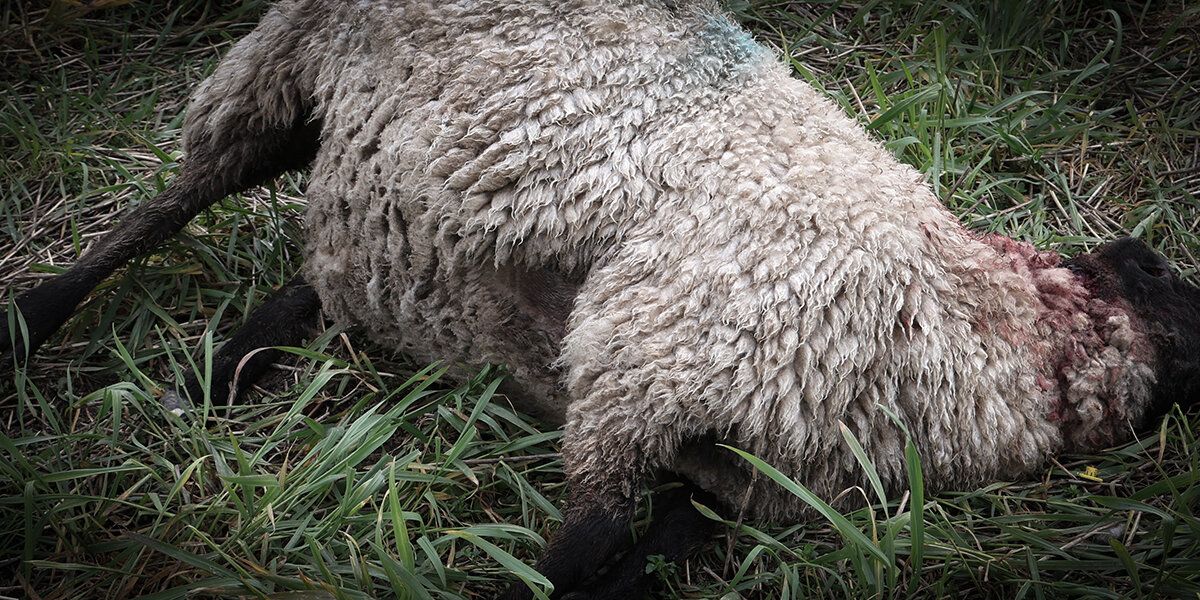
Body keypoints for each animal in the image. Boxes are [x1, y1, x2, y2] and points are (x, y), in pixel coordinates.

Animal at [2, 1, 1200, 600]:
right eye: (1167, 283)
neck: (984, 323)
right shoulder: (645, 368)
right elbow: (575, 557)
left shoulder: (723, 478)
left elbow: (621, 564)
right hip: (278, 64)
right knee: (174, 202)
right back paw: (38, 320)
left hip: (377, 199)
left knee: (323, 272)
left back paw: (220, 372)